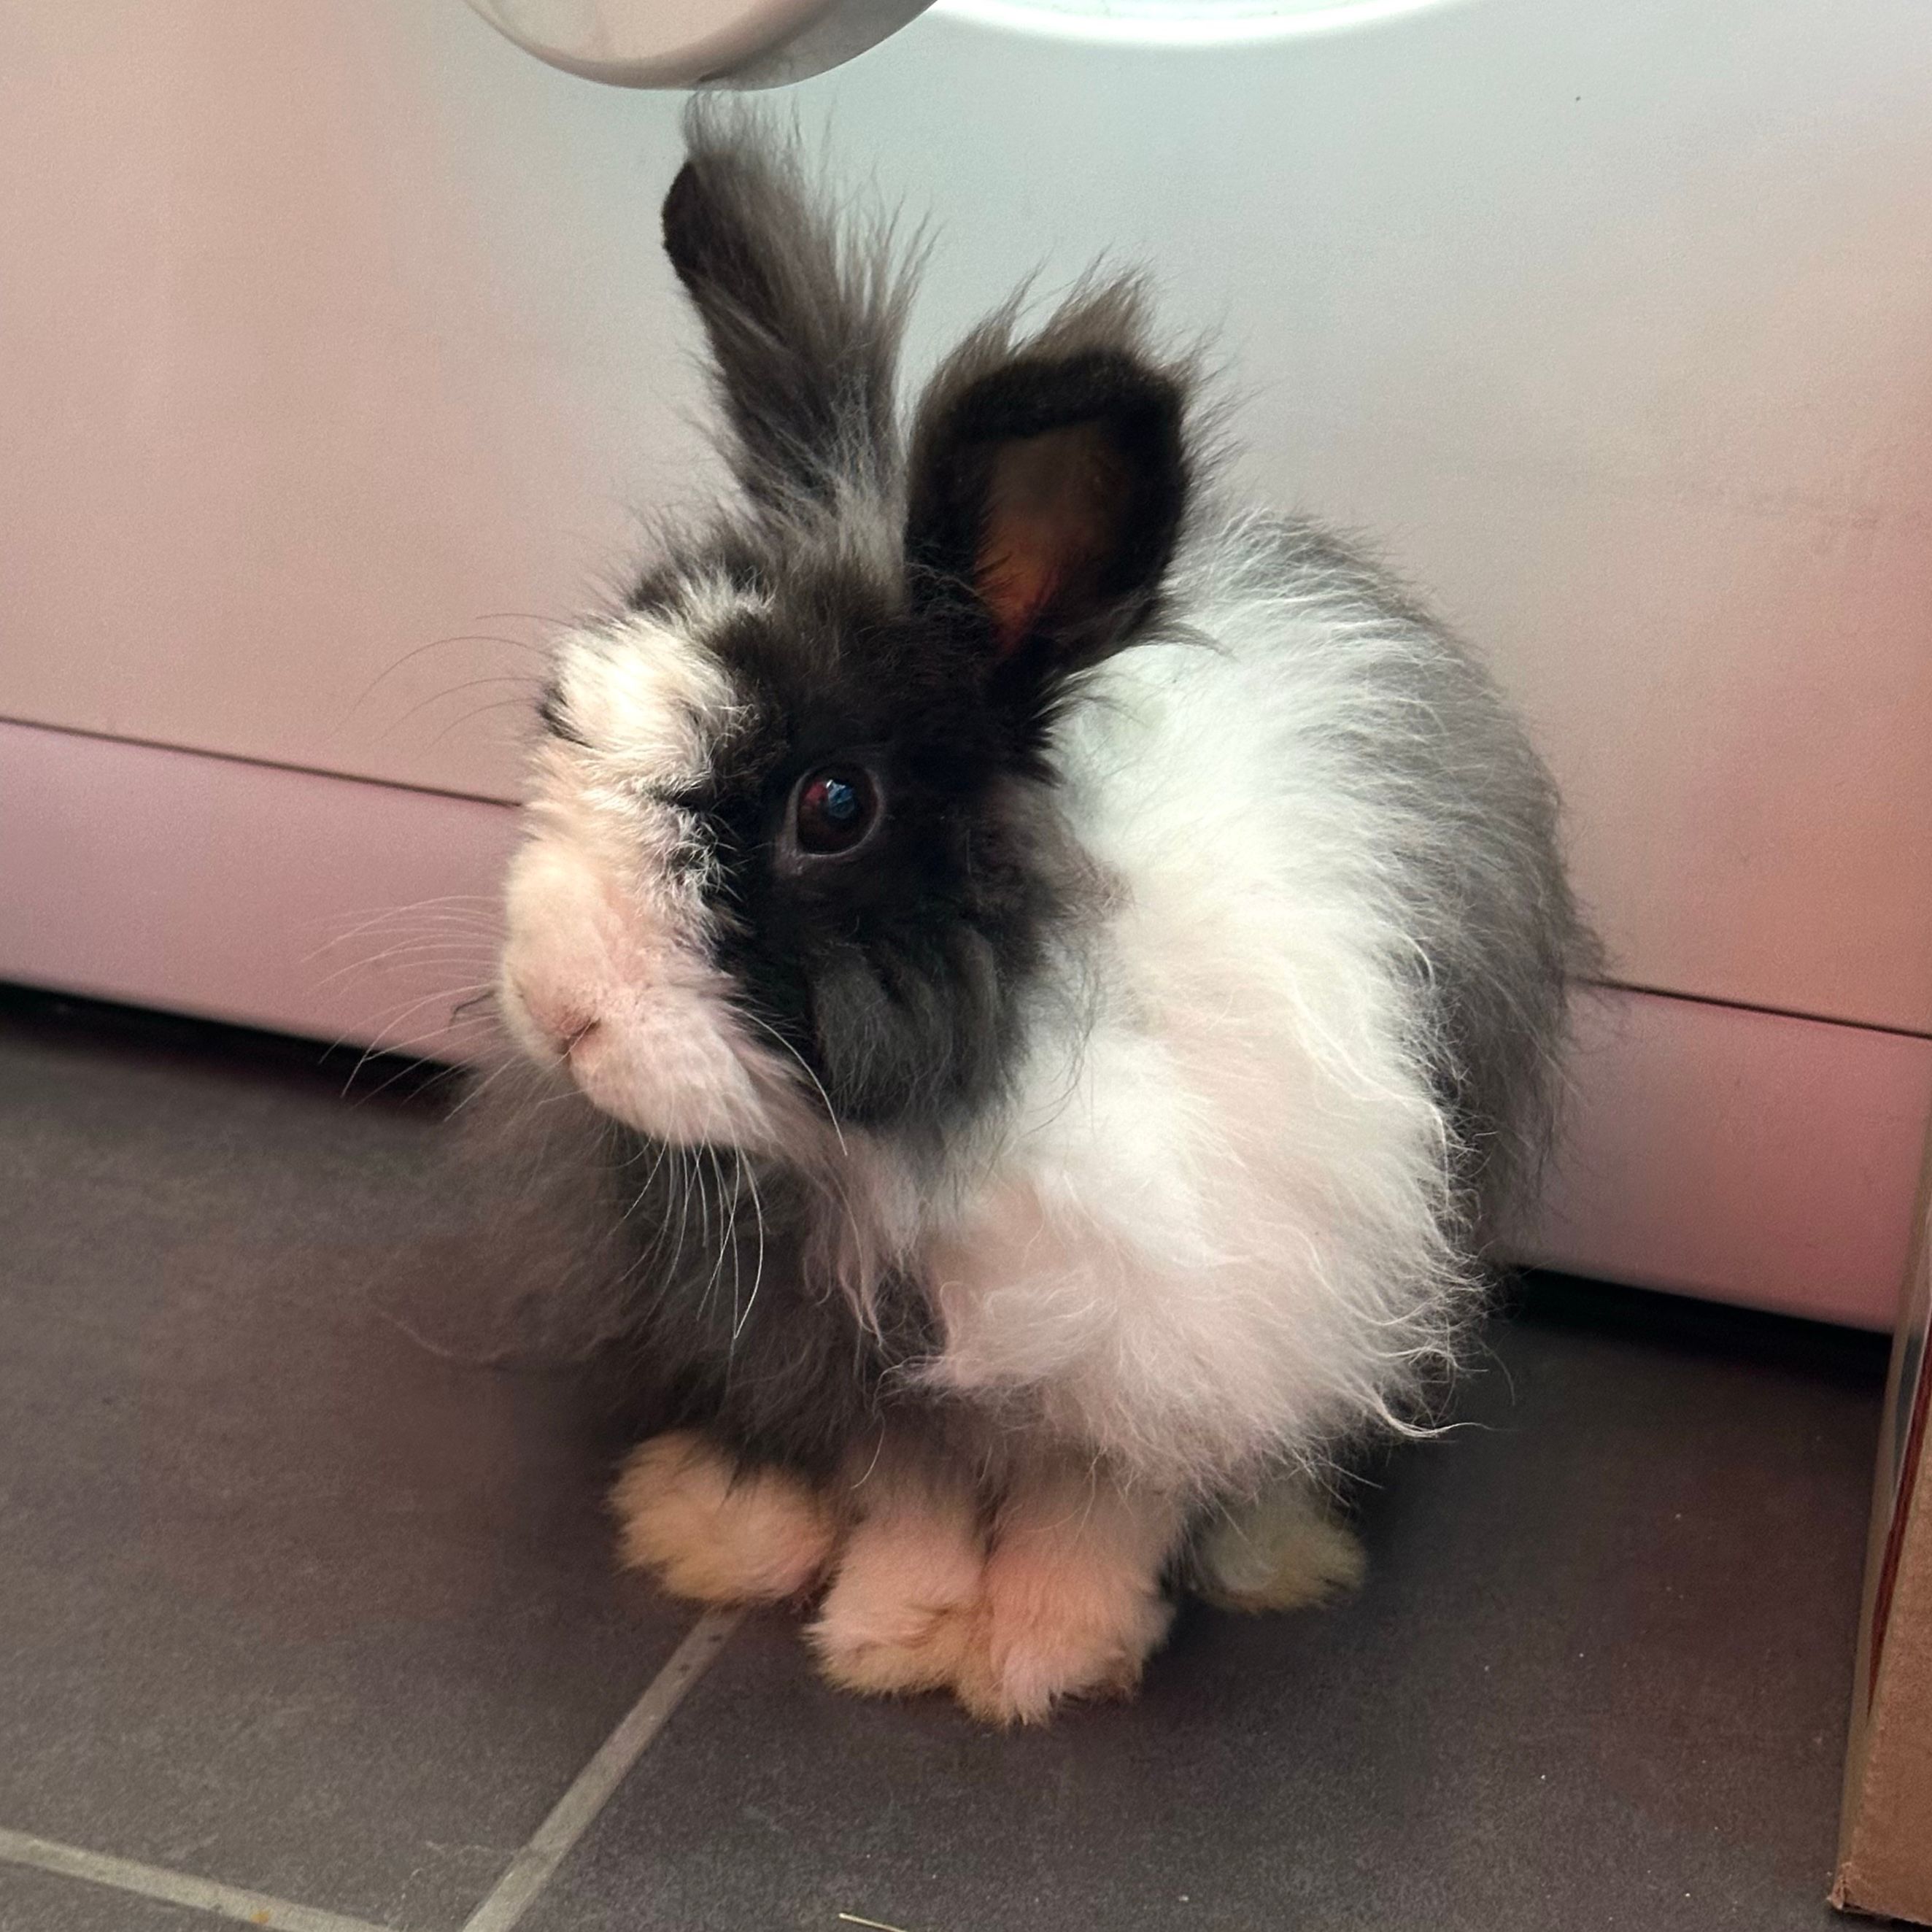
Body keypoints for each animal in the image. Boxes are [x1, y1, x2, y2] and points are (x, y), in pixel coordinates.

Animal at [483, 105, 1591, 1726]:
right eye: (563, 706)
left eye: (833, 804)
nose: (556, 1010)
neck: (955, 1107)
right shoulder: (850, 1343)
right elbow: (908, 1494)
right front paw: (891, 1637)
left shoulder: (1186, 1330)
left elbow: (1099, 1506)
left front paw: (1042, 1659)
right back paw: (715, 1528)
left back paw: (1273, 1554)